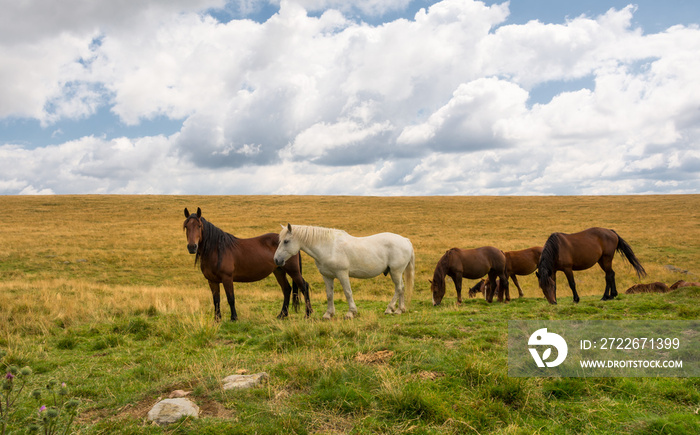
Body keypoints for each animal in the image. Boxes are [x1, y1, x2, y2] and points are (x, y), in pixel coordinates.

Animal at [274, 227, 416, 318]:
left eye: (286, 241)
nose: (276, 260)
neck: (328, 247)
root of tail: (405, 240)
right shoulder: (327, 276)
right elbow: (329, 294)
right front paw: (328, 314)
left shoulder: (342, 274)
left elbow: (348, 292)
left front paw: (351, 313)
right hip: (397, 272)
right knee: (401, 288)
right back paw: (400, 310)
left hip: (396, 272)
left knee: (398, 289)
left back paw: (390, 309)